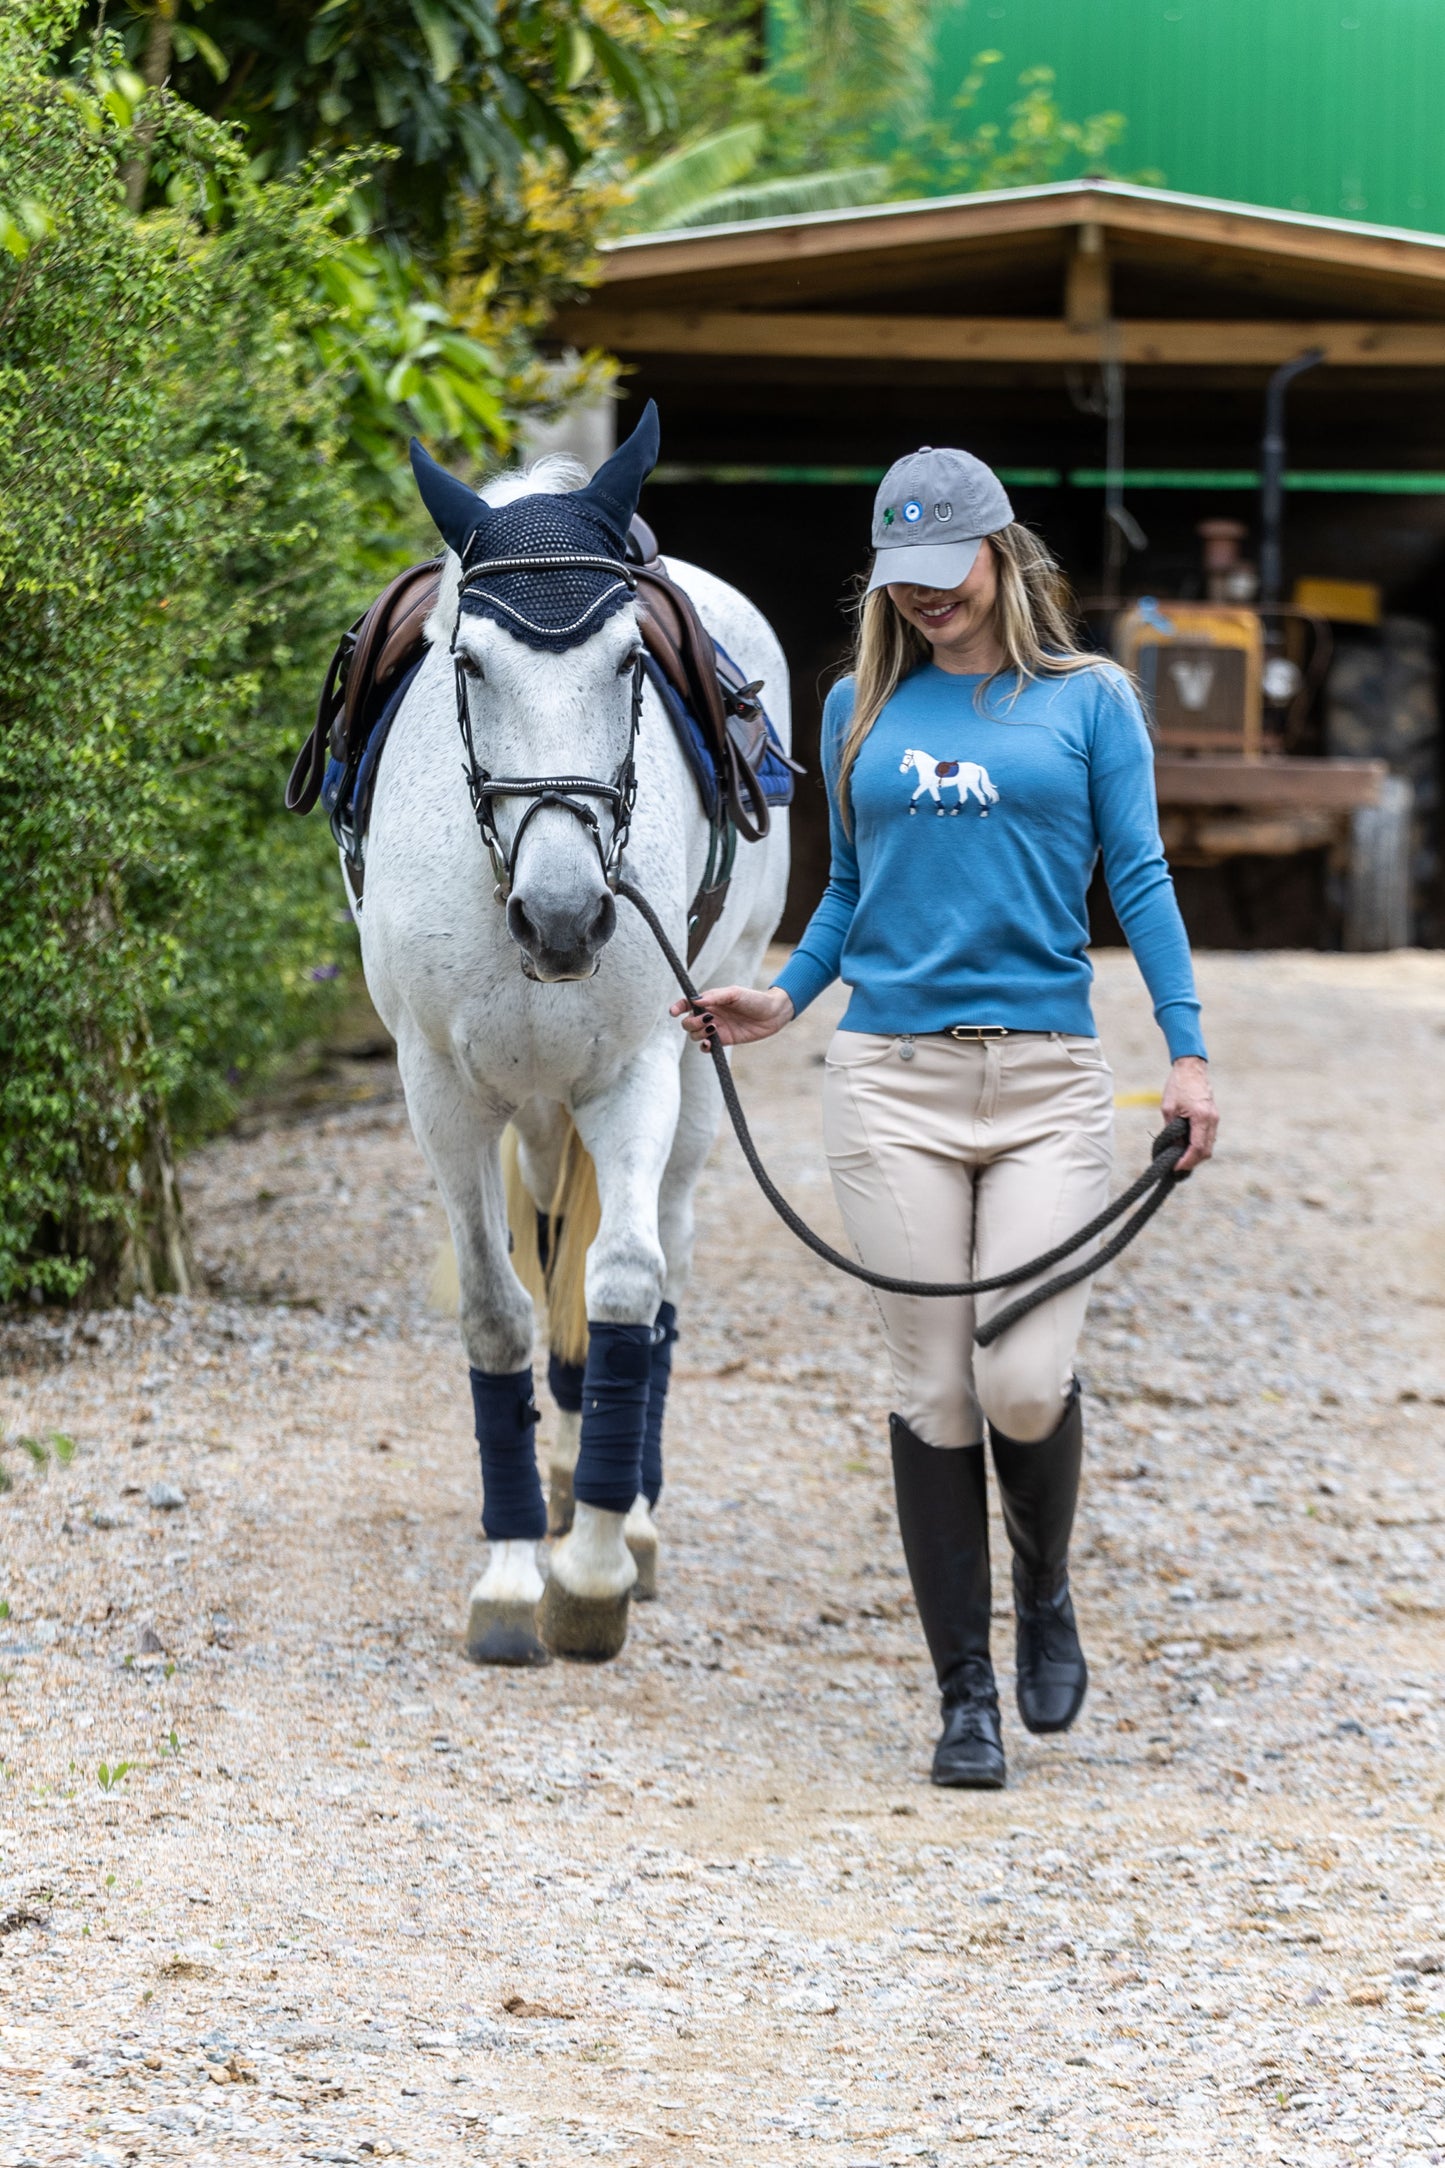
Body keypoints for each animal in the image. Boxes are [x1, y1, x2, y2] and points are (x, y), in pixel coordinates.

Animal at [351, 403, 790, 1665]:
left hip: (699, 1056)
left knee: (662, 1253)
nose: (562, 916)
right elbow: (497, 1309)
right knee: (545, 1235)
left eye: (629, 662)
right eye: (469, 664)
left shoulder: (637, 1068)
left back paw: (624, 1510)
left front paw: (592, 1571)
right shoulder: (442, 1092)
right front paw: (509, 1572)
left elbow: (628, 1282)